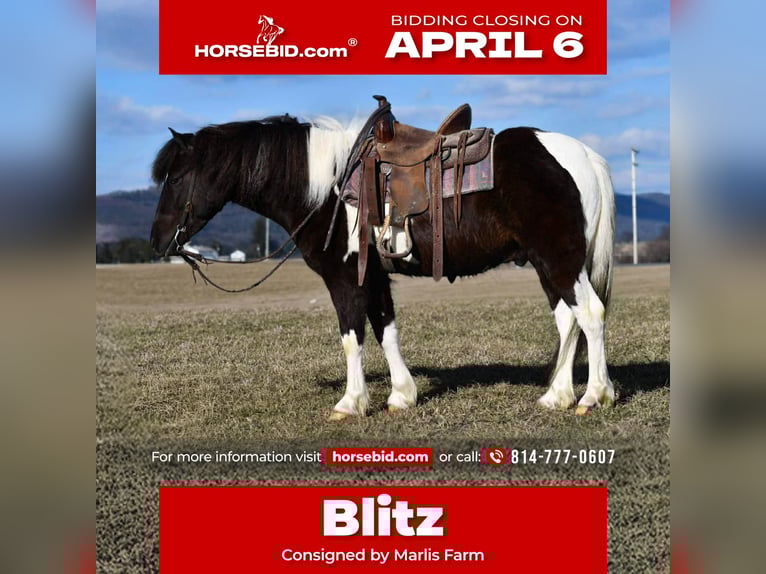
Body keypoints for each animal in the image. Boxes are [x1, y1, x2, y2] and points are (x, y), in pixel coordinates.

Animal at [149, 105, 616, 420]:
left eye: (176, 177)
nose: (157, 241)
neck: (329, 188)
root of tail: (583, 156)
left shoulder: (344, 278)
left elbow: (352, 336)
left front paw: (350, 402)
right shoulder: (374, 277)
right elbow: (385, 330)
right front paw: (402, 395)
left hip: (558, 259)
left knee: (590, 313)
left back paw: (594, 395)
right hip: (545, 262)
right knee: (567, 319)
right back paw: (557, 395)